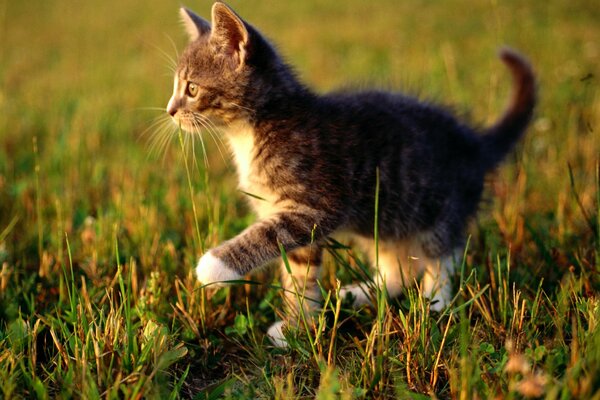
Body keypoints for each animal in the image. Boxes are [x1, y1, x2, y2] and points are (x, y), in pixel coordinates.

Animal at [165, 1, 536, 346]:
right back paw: (359, 294)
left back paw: (435, 303)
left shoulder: (317, 206)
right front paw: (298, 326)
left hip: (440, 208)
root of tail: (474, 142)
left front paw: (214, 266)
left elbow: (266, 235)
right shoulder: (298, 223)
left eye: (192, 89)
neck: (254, 129)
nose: (170, 111)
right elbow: (300, 273)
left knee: (443, 255)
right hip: (386, 218)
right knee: (398, 269)